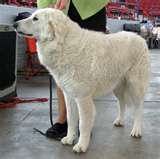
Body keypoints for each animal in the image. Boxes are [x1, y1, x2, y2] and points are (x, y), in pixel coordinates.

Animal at [14, 8, 151, 153]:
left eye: (35, 18)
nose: (14, 24)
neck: (62, 44)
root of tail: (139, 37)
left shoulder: (82, 98)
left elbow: (83, 124)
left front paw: (81, 145)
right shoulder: (69, 95)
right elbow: (71, 120)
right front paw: (69, 138)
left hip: (135, 85)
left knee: (139, 108)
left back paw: (136, 130)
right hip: (117, 87)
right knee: (122, 103)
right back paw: (120, 120)